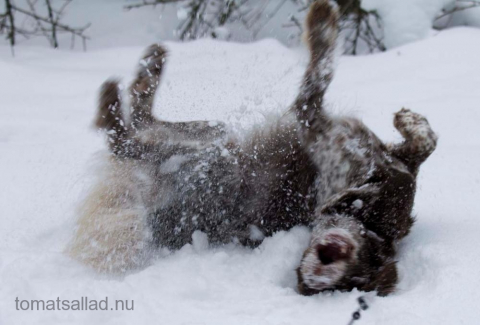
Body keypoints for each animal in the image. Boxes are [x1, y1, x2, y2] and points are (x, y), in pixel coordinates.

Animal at [68, 0, 438, 294]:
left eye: (358, 281)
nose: (317, 277)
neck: (369, 217)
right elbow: (426, 141)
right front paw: (411, 120)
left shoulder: (314, 121)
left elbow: (319, 73)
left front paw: (321, 22)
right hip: (215, 135)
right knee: (146, 122)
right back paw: (148, 72)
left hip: (208, 159)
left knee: (122, 138)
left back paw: (116, 98)